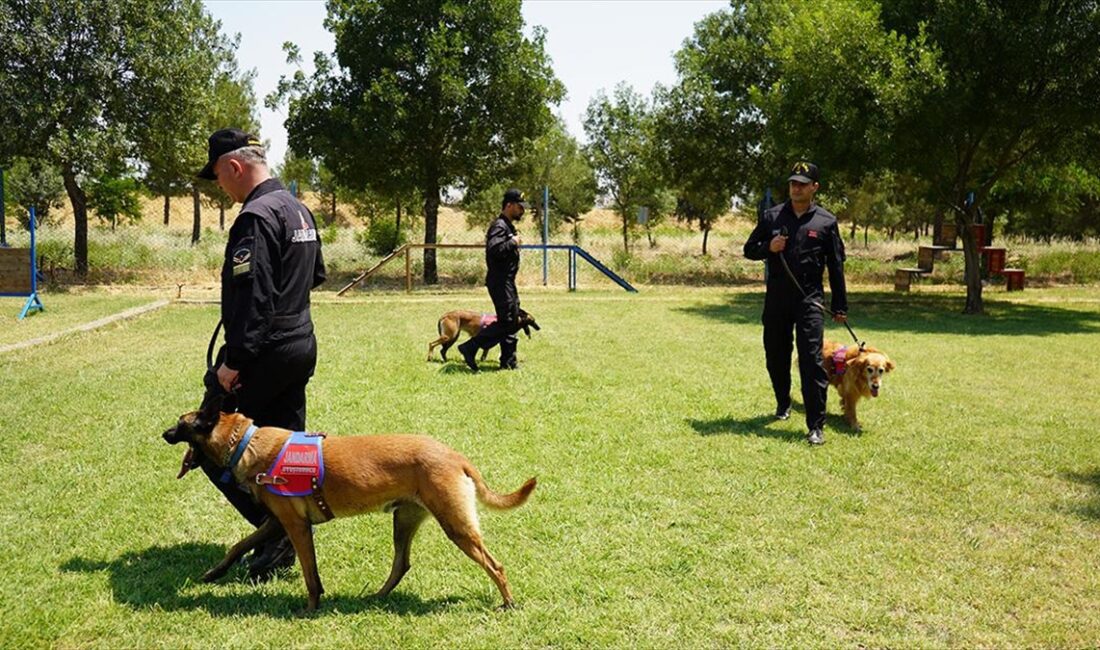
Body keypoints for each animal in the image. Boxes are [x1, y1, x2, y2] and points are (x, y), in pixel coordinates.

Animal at [161, 393, 536, 611]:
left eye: (181, 423)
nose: (163, 434)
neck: (245, 443)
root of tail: (455, 455)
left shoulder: (296, 526)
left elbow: (310, 573)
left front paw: (311, 608)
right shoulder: (276, 522)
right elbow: (238, 545)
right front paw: (215, 572)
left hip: (456, 525)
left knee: (495, 565)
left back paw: (509, 603)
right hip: (404, 522)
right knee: (401, 565)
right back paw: (376, 598)